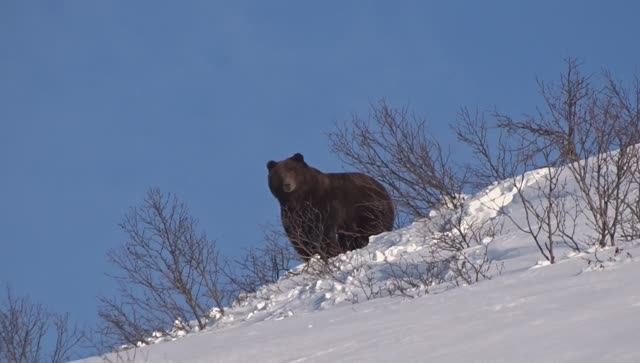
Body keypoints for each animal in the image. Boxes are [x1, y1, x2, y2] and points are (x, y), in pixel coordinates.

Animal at [264, 153, 396, 262]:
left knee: (371, 227)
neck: (299, 199)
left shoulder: (324, 204)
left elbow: (323, 231)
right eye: (279, 174)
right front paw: (310, 257)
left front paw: (329, 253)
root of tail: (383, 189)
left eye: (292, 170)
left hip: (369, 206)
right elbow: (298, 237)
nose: (287, 184)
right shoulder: (291, 215)